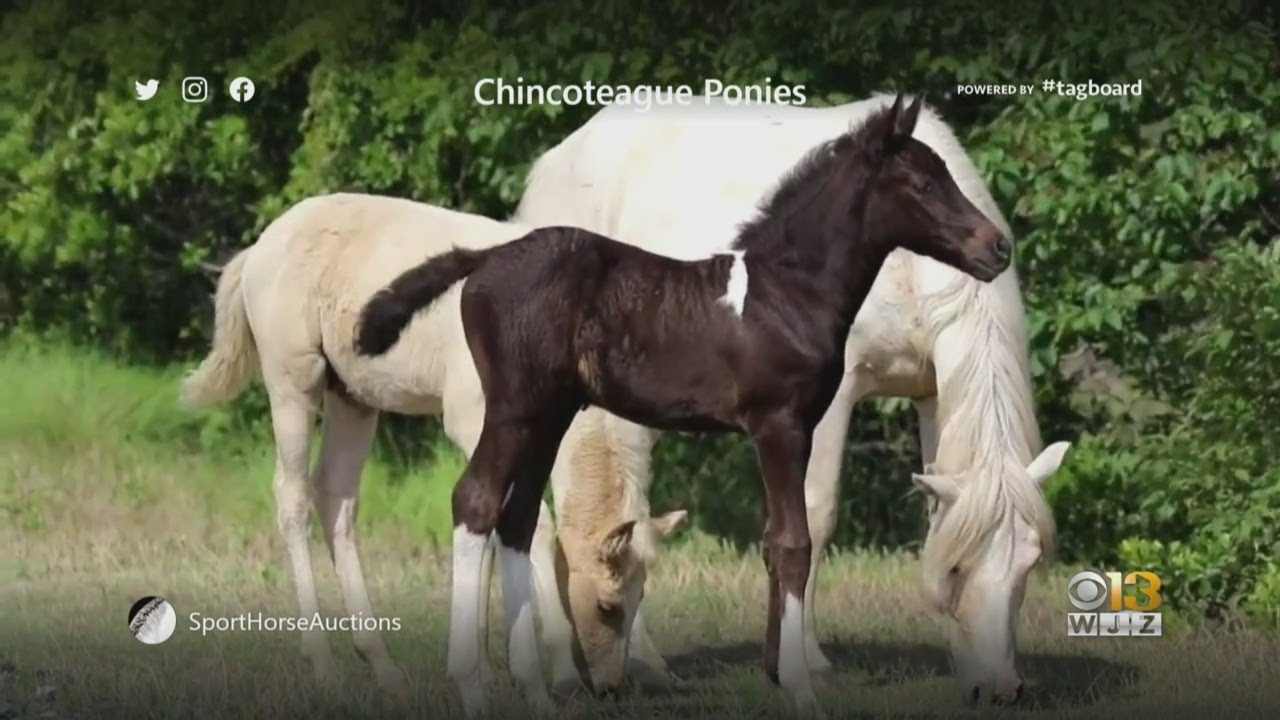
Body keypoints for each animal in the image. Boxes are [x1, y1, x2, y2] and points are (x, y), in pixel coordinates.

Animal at [514, 94, 1075, 702]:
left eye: (1028, 566)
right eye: (957, 572)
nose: (1002, 690)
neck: (905, 267)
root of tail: (555, 161)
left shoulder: (931, 393)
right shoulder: (828, 401)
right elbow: (815, 517)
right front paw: (806, 662)